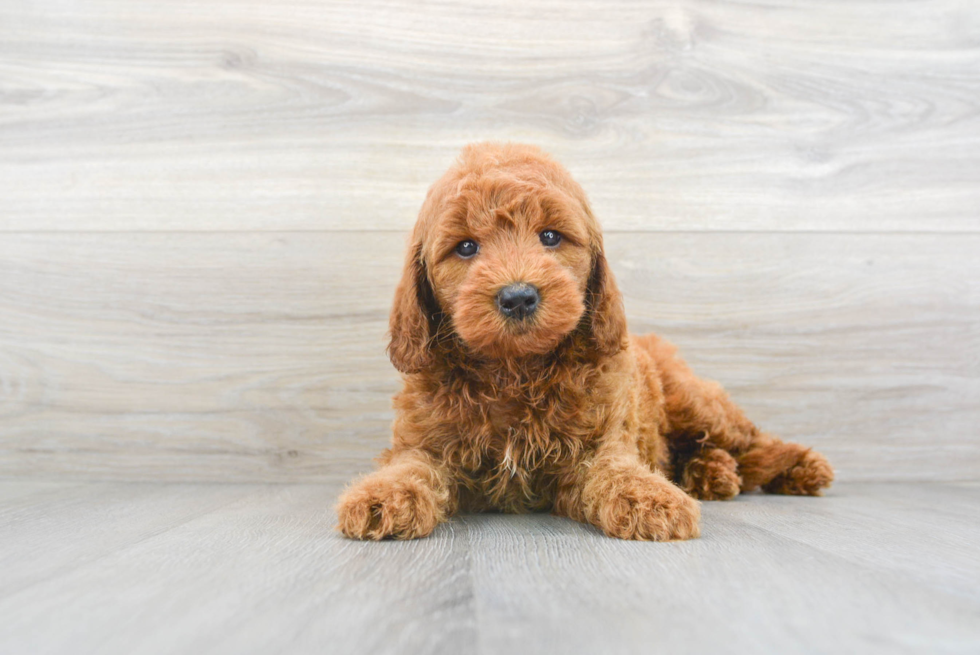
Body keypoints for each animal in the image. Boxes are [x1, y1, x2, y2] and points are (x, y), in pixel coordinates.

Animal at [336, 141, 836, 540]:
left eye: (550, 236)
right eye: (465, 247)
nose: (518, 296)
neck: (514, 370)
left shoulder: (597, 444)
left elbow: (615, 470)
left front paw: (650, 498)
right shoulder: (427, 443)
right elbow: (411, 466)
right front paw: (380, 496)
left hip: (694, 400)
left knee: (749, 439)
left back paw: (797, 467)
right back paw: (712, 473)